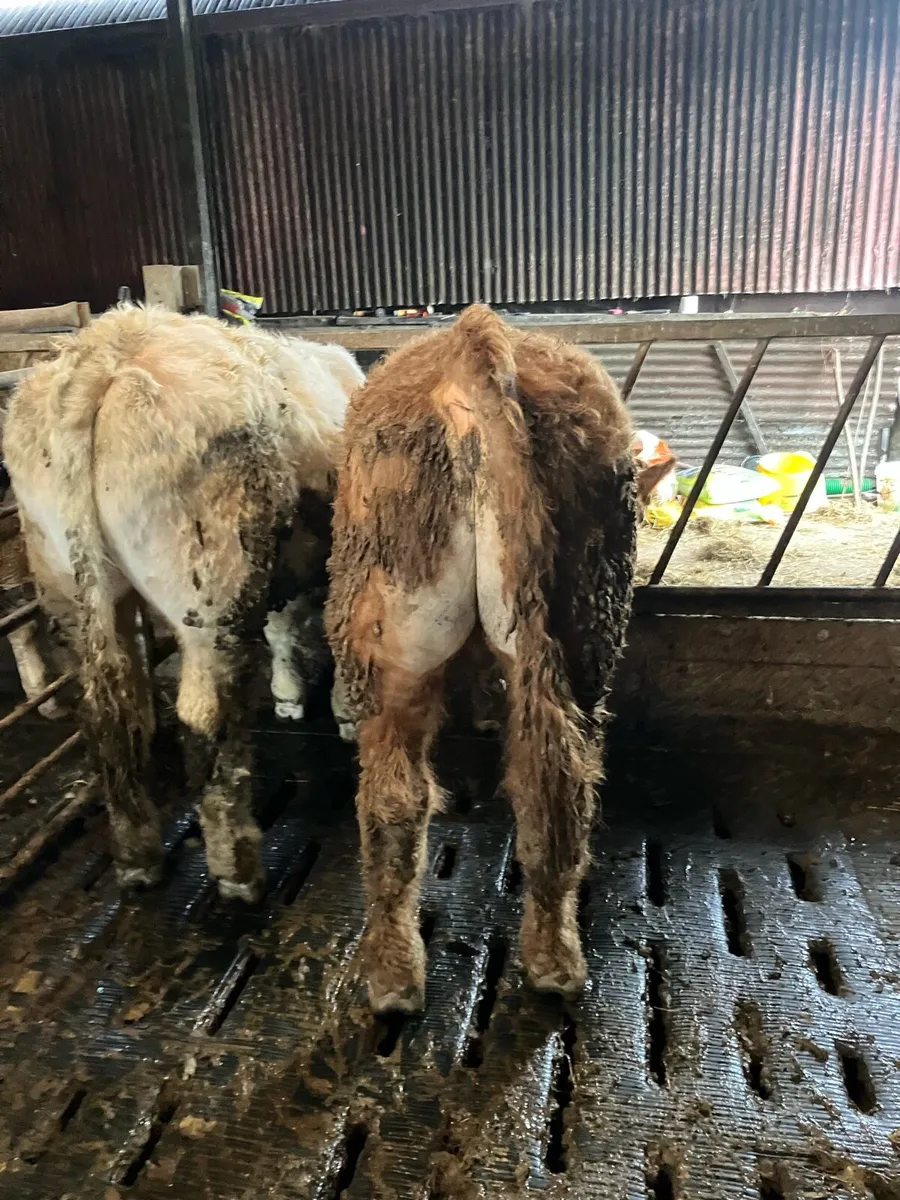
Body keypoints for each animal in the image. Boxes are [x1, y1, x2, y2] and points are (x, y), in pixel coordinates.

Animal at [3, 304, 362, 900]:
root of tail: (103, 354)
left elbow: (283, 627)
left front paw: (289, 695)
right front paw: (339, 710)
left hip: (73, 586)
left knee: (106, 714)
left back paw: (136, 856)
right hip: (209, 590)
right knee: (206, 720)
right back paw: (238, 870)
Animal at [326, 305, 673, 1014]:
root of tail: (475, 340)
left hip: (395, 644)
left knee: (398, 799)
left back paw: (396, 975)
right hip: (578, 630)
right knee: (554, 782)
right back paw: (553, 961)